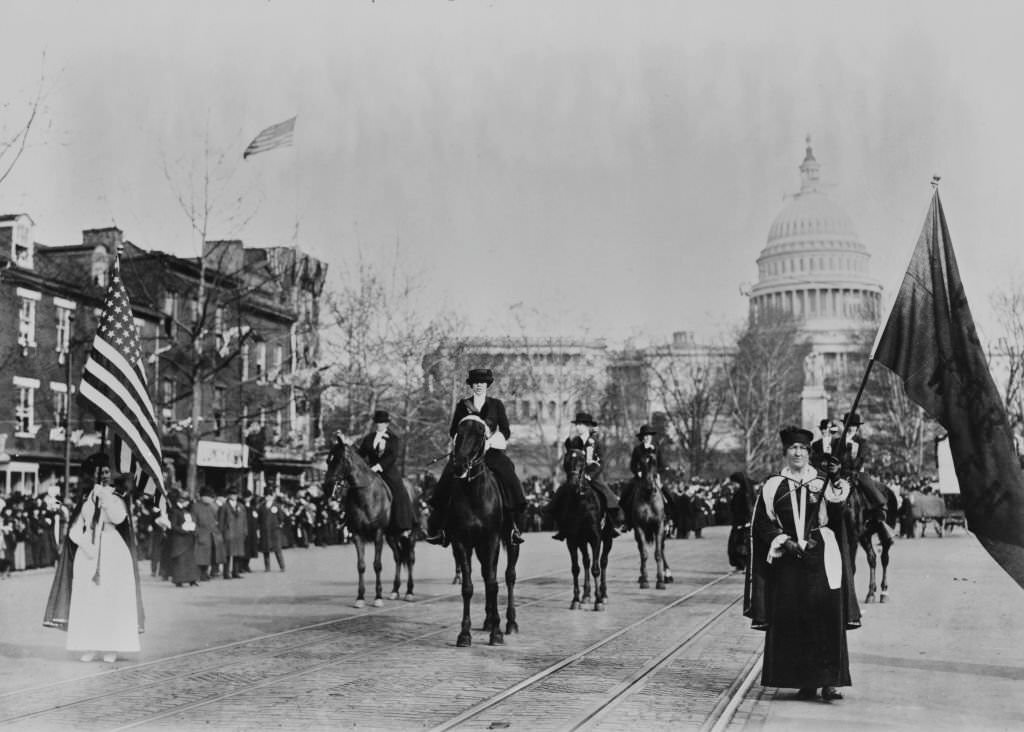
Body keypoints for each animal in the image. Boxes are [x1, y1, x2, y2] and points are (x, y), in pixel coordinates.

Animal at [323, 432, 395, 610]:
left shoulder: (378, 534)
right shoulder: (356, 534)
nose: (326, 487)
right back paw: (396, 590)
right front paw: (360, 598)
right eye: (328, 459)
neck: (366, 496)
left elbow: (377, 564)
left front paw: (378, 597)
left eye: (339, 459)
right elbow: (361, 565)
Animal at [444, 415, 520, 651]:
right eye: (458, 432)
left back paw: (509, 622)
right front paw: (464, 634)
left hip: (510, 542)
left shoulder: (492, 540)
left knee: (509, 576)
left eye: (480, 434)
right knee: (487, 575)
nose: (459, 465)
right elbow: (468, 587)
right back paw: (489, 620)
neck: (474, 493)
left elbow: (494, 585)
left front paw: (497, 633)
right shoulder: (462, 543)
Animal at [557, 446, 610, 614]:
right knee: (586, 562)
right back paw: (586, 595)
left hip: (607, 540)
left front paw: (598, 601)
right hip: (582, 541)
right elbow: (576, 568)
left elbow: (596, 569)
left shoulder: (596, 538)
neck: (581, 502)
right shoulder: (572, 540)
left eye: (582, 460)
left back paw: (603, 595)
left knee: (603, 562)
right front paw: (575, 599)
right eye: (566, 460)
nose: (573, 482)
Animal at [622, 452, 671, 589]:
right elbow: (643, 553)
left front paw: (660, 581)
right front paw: (644, 580)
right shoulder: (639, 527)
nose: (650, 487)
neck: (648, 497)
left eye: (654, 463)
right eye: (641, 464)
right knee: (640, 548)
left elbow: (658, 553)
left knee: (662, 549)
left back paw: (667, 575)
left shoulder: (659, 526)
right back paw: (642, 576)